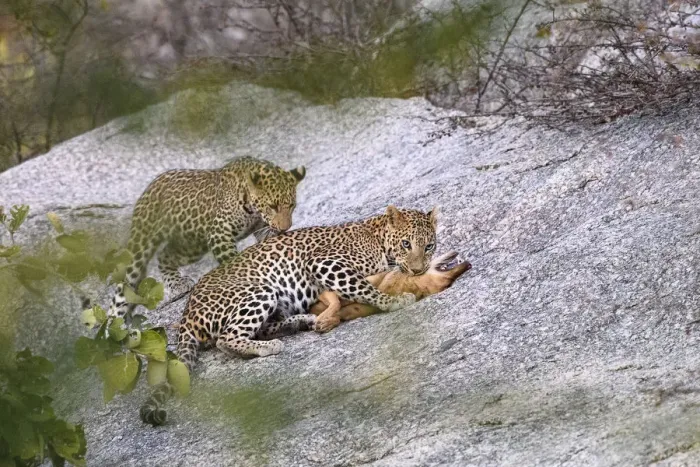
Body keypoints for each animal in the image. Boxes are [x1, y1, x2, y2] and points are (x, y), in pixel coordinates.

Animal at [109, 156, 306, 318]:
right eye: (273, 206)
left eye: (291, 206)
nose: (285, 228)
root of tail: (151, 185)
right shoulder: (220, 233)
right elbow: (233, 261)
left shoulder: (262, 229)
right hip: (142, 240)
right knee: (125, 284)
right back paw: (114, 323)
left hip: (192, 246)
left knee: (164, 256)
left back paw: (177, 284)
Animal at [139, 205, 437, 425]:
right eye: (406, 243)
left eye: (429, 246)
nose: (419, 270)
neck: (377, 238)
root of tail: (186, 313)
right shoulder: (325, 262)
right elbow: (363, 287)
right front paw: (393, 300)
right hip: (259, 290)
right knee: (227, 338)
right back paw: (270, 346)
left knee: (260, 327)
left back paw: (300, 322)